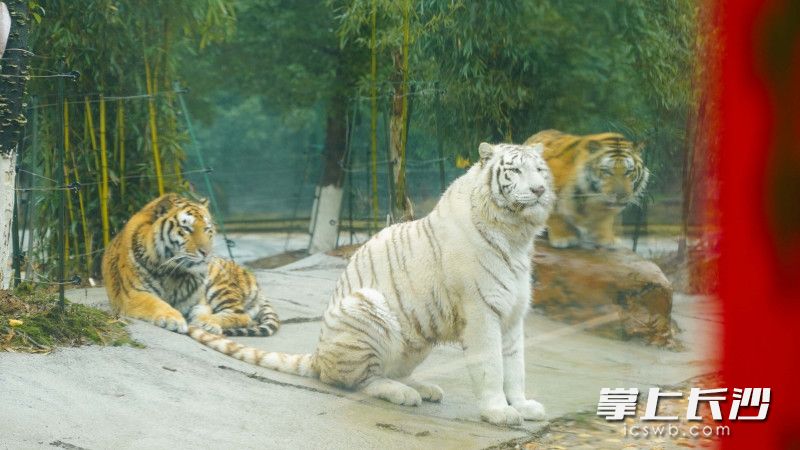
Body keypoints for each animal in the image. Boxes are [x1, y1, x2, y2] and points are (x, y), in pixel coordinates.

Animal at [101, 193, 279, 337]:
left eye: (207, 229)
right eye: (186, 228)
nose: (206, 253)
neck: (173, 271)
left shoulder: (199, 300)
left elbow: (203, 311)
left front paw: (204, 321)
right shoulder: (133, 294)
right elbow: (156, 303)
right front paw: (174, 320)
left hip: (221, 285)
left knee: (243, 316)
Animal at [186, 142, 556, 427]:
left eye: (540, 170)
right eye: (515, 171)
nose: (539, 190)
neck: (516, 235)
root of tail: (318, 358)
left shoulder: (512, 314)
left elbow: (515, 365)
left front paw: (523, 406)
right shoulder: (481, 312)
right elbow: (491, 365)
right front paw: (499, 413)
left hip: (418, 335)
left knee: (390, 370)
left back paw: (423, 388)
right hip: (366, 307)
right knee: (359, 381)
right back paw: (403, 393)